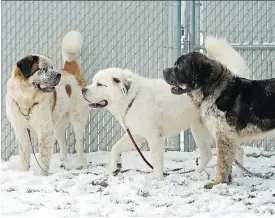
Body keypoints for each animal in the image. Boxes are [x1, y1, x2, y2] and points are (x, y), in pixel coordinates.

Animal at [5, 29, 89, 175]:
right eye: (43, 69)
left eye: (52, 67)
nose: (58, 75)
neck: (27, 98)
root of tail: (70, 72)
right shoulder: (21, 131)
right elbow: (24, 156)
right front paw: (24, 172)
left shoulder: (44, 130)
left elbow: (43, 157)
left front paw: (41, 174)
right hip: (57, 125)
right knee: (63, 144)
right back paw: (62, 162)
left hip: (77, 119)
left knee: (79, 143)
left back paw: (80, 164)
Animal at [82, 36, 250, 180]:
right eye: (94, 82)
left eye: (100, 84)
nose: (83, 89)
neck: (132, 98)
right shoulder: (136, 135)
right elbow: (115, 148)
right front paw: (114, 168)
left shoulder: (154, 137)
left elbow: (156, 160)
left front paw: (156, 179)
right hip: (202, 129)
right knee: (212, 154)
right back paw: (201, 174)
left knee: (232, 151)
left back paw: (236, 175)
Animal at [164, 39, 275, 187]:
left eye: (180, 66)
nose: (164, 70)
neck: (213, 90)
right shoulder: (227, 136)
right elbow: (227, 162)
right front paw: (226, 181)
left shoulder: (223, 134)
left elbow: (222, 162)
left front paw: (216, 182)